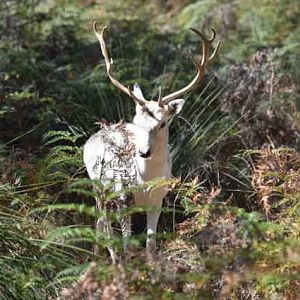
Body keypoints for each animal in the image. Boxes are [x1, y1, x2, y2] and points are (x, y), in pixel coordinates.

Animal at [83, 21, 219, 262]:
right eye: (136, 121)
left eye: (162, 123)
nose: (143, 152)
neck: (145, 181)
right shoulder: (123, 196)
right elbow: (127, 243)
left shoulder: (158, 199)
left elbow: (150, 244)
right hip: (98, 182)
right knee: (103, 221)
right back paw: (106, 258)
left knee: (101, 222)